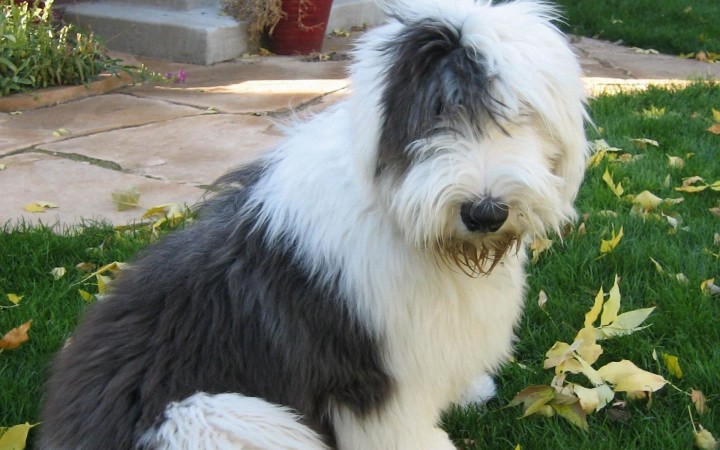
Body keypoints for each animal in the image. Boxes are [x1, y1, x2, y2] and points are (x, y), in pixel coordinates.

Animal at [39, 1, 588, 448]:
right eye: (436, 113)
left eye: (520, 113)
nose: (484, 212)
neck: (399, 214)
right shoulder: (369, 371)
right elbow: (398, 428)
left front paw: (471, 388)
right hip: (222, 418)